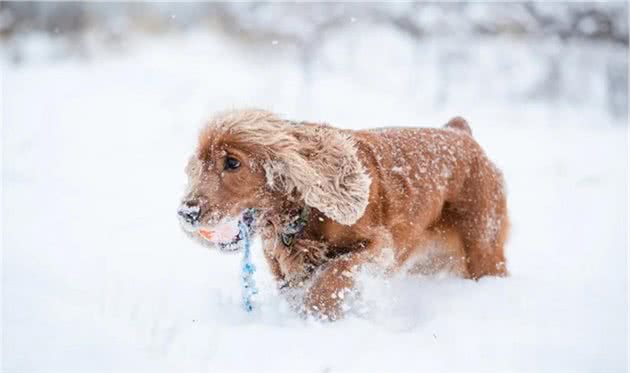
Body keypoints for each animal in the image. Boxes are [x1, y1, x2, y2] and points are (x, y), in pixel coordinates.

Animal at [177, 109, 508, 318]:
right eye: (199, 163)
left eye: (232, 163)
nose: (186, 212)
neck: (303, 213)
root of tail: (459, 132)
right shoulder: (283, 268)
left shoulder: (379, 246)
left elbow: (335, 270)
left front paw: (320, 311)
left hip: (483, 247)